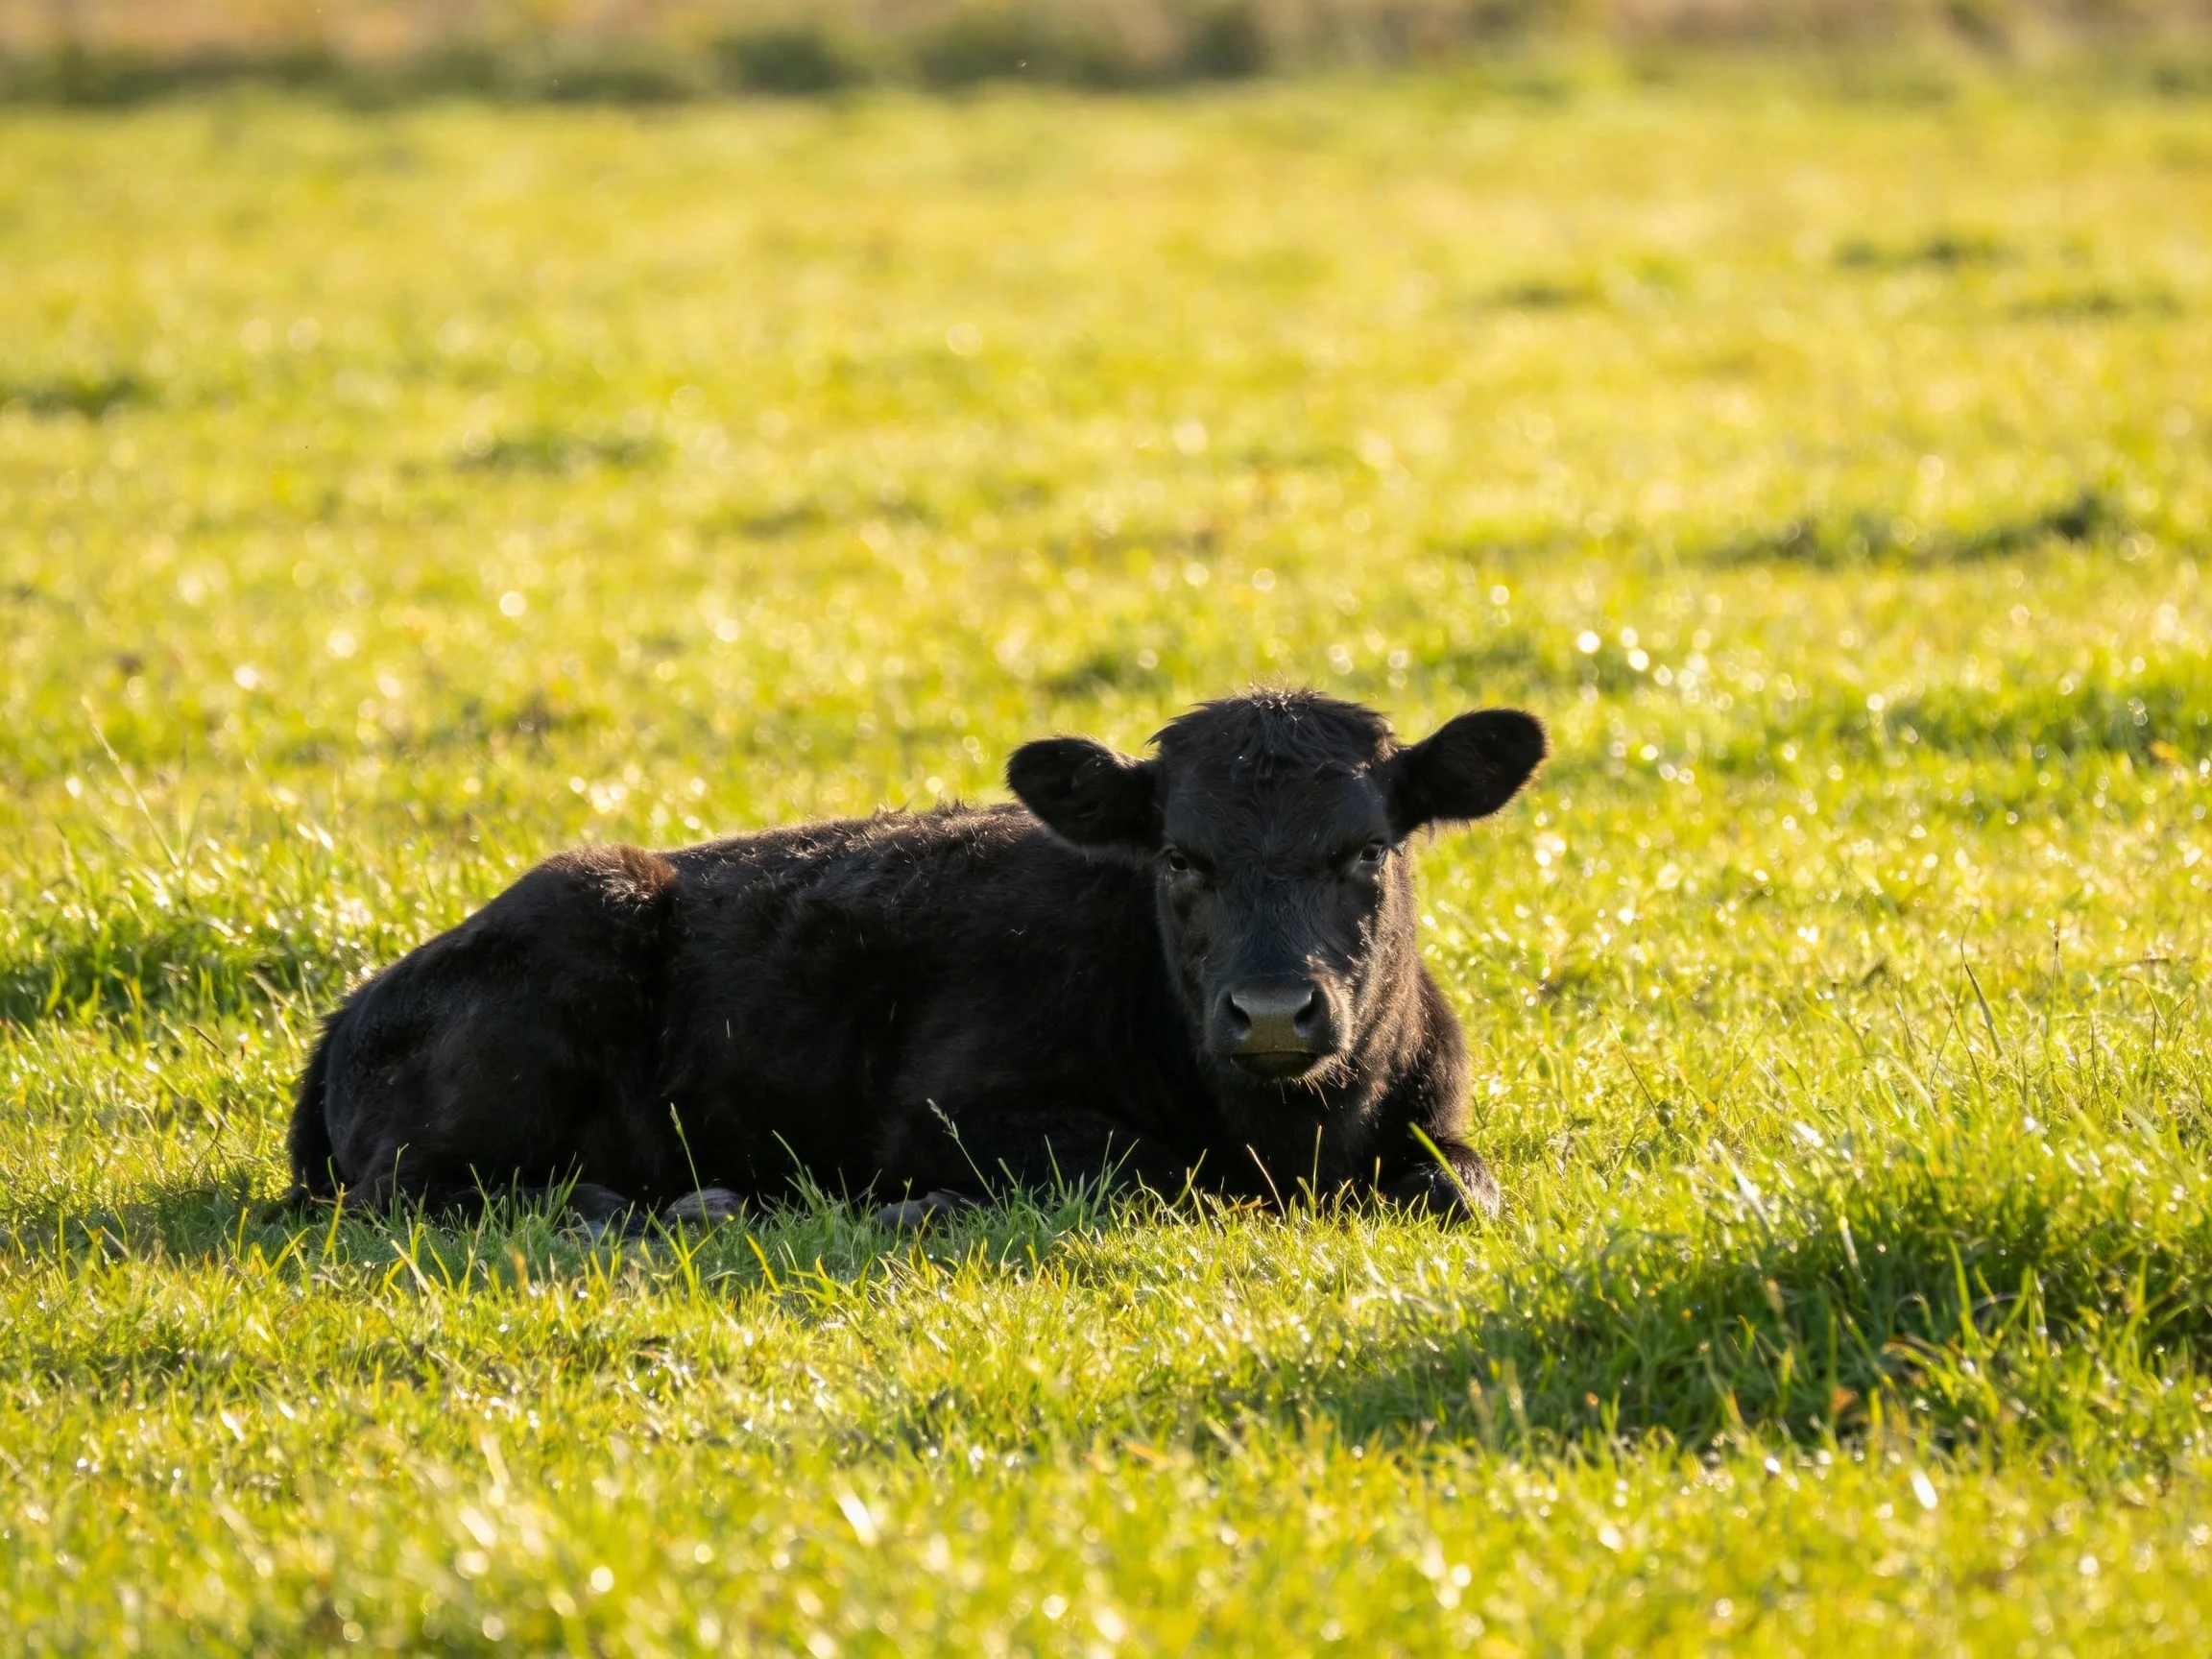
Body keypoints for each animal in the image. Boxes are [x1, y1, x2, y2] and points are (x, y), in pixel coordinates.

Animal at [287, 688, 1546, 1230]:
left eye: (1367, 847)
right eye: (1180, 856)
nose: (1277, 1012)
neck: (1292, 1140)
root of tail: (352, 1007)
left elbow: (1467, 1184)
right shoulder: (951, 1111)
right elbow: (1146, 1170)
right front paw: (922, 1211)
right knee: (425, 1194)